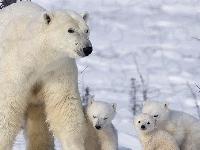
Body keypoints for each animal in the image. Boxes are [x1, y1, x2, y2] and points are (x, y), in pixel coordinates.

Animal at [0, 1, 92, 150]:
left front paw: (74, 145)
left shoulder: (57, 71)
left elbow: (64, 106)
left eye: (87, 30)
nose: (87, 48)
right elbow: (8, 107)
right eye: (70, 30)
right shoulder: (15, 70)